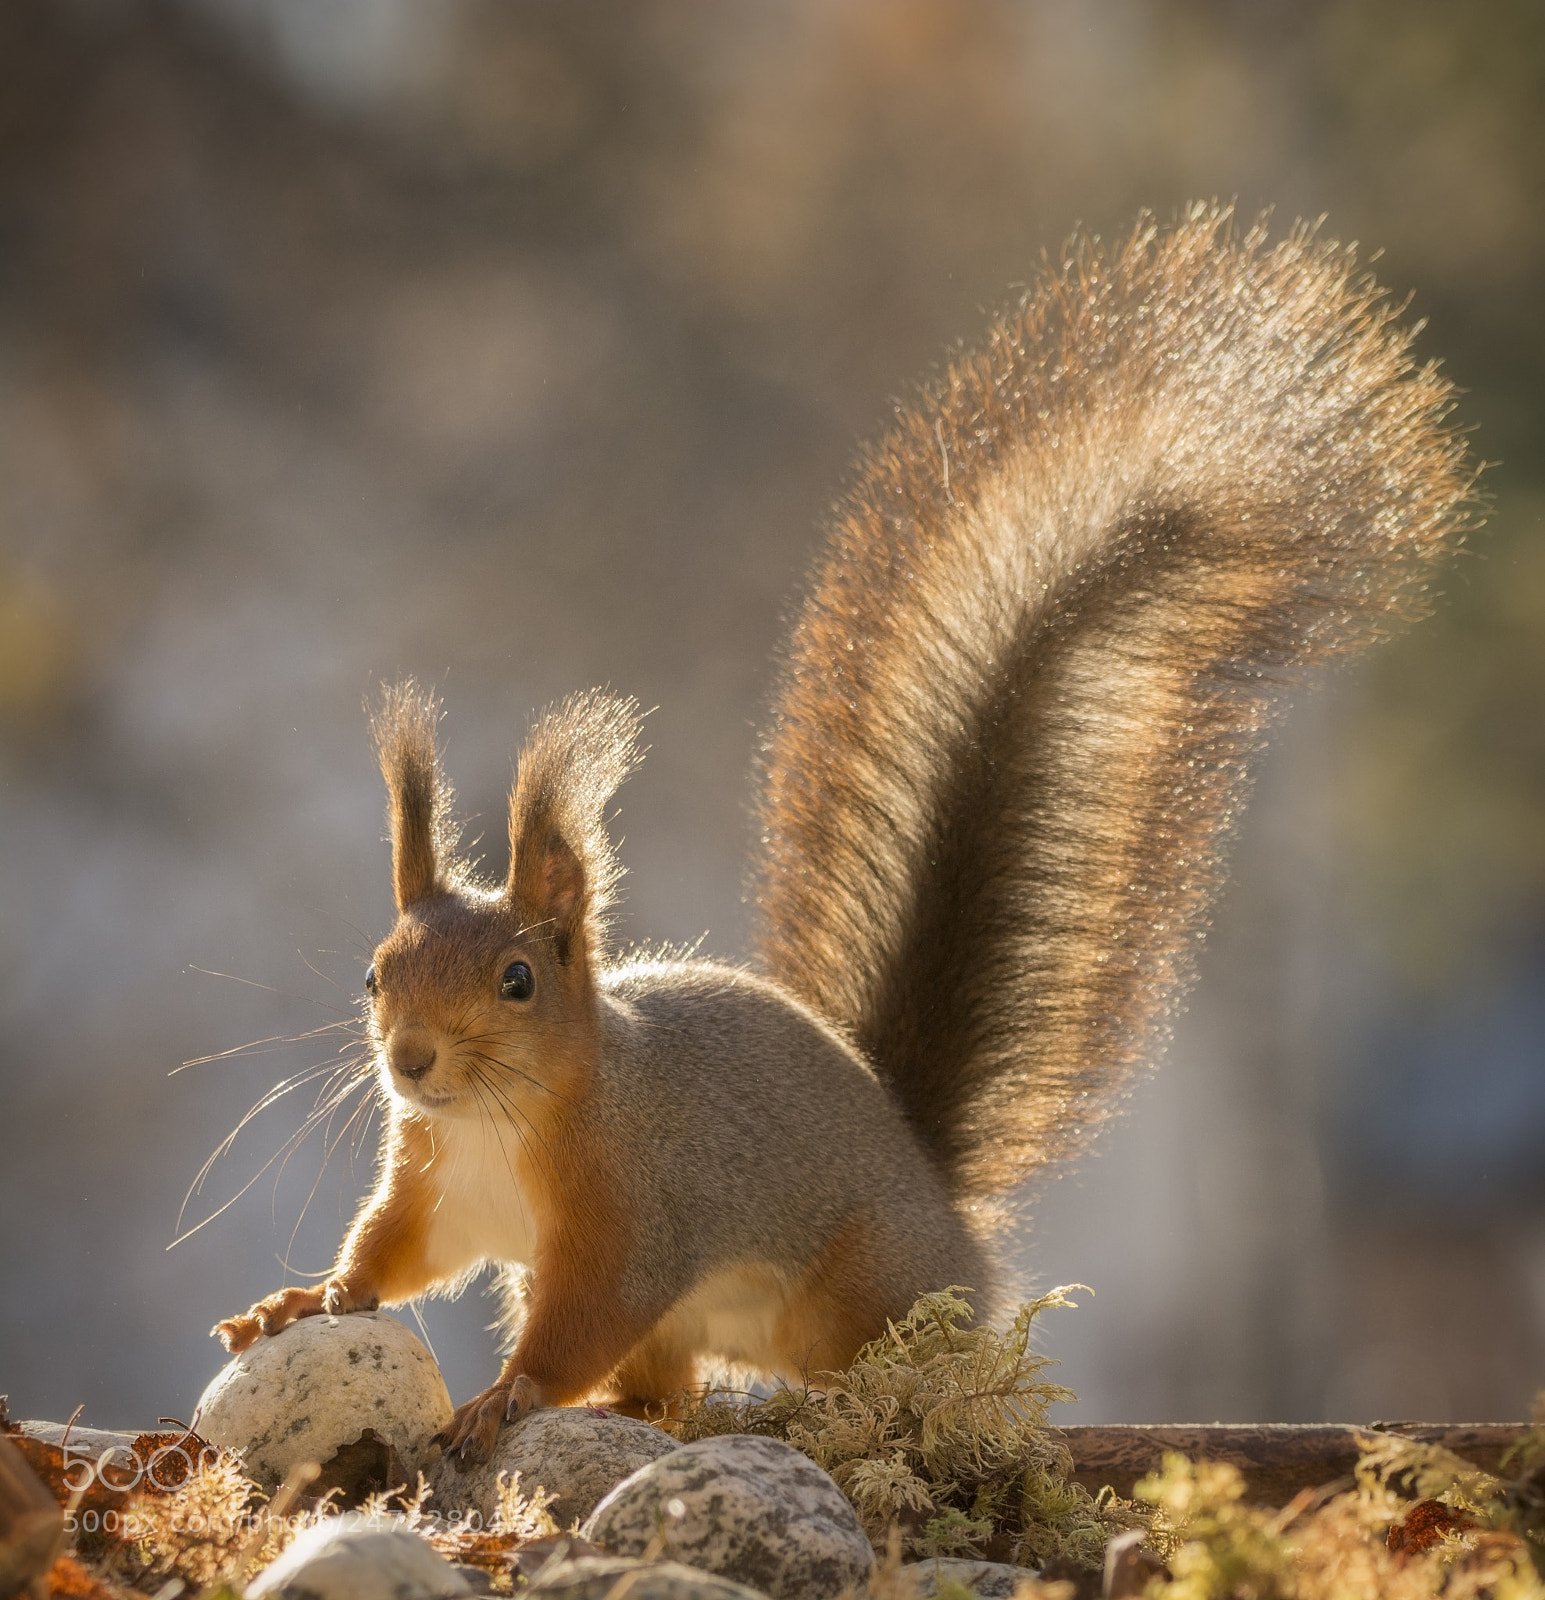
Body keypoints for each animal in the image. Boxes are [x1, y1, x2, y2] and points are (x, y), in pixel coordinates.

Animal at [214, 206, 1473, 1463]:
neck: (493, 1121)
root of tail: (936, 1191)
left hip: (860, 1292)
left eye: (518, 980)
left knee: (882, 1373)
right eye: (374, 974)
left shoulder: (633, 1212)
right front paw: (307, 1298)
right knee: (665, 1392)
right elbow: (393, 1254)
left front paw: (507, 1395)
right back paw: (644, 1410)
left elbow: (586, 1316)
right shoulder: (433, 1185)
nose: (410, 1059)